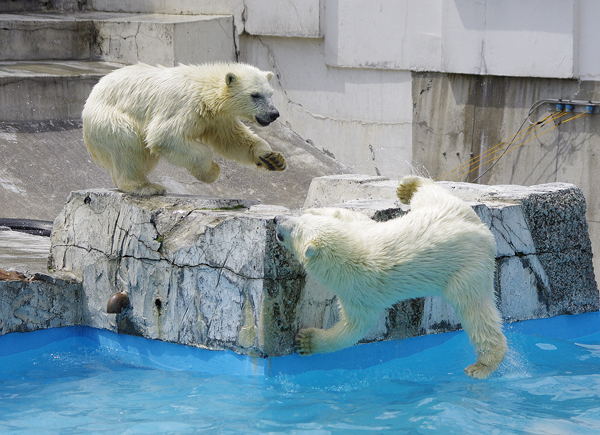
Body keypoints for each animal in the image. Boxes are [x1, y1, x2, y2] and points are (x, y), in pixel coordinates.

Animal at [82, 62, 286, 197]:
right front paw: (212, 171)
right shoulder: (183, 106)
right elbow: (164, 135)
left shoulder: (217, 119)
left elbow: (233, 140)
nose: (274, 114)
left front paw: (273, 158)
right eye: (255, 95)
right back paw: (146, 187)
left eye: (270, 94)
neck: (205, 91)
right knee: (127, 143)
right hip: (108, 119)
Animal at [276, 175, 506, 380]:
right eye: (299, 220)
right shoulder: (363, 229)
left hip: (466, 272)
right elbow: (349, 216)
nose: (277, 219)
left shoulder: (358, 291)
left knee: (475, 311)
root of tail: (482, 232)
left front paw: (307, 340)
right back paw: (407, 187)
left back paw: (482, 365)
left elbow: (354, 327)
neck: (353, 252)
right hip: (447, 210)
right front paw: (315, 208)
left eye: (292, 231)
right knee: (431, 195)